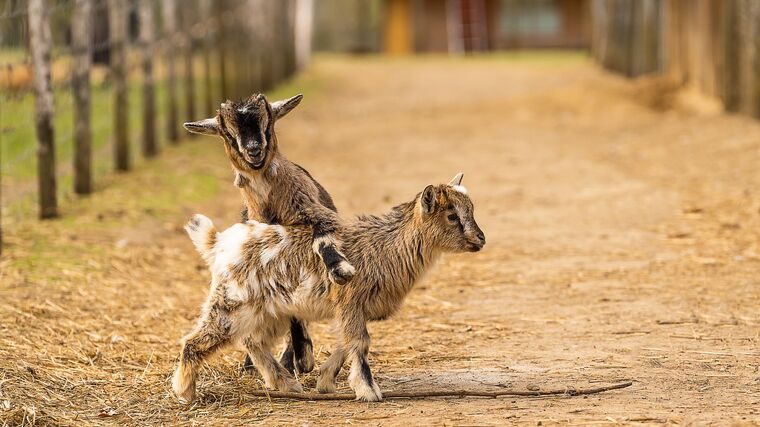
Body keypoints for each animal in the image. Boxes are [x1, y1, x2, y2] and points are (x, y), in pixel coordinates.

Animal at [171, 172, 486, 402]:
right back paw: (185, 392)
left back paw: (286, 385)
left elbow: (347, 342)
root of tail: (218, 243)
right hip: (230, 303)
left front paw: (325, 382)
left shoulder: (356, 309)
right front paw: (369, 391)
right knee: (195, 341)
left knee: (254, 341)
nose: (480, 240)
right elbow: (359, 342)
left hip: (271, 311)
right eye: (452, 216)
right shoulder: (350, 300)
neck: (384, 246)